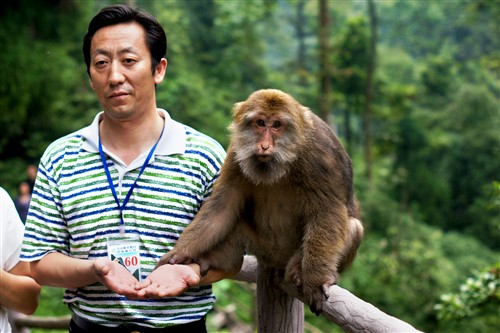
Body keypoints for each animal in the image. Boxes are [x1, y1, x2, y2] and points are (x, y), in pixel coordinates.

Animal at [158, 88, 366, 314]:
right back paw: (222, 261)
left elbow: (327, 211)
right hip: (263, 248)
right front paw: (179, 254)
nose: (264, 145)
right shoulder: (236, 151)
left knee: (353, 227)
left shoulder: (320, 156)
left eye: (276, 125)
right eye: (260, 123)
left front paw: (315, 281)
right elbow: (223, 204)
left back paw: (300, 271)